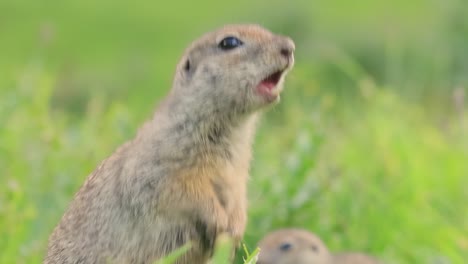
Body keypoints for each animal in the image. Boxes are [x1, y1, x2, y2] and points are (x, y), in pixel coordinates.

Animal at [45, 24, 296, 264]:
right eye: (229, 42)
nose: (289, 47)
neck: (231, 129)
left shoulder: (236, 172)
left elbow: (238, 197)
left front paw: (235, 229)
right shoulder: (163, 163)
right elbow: (182, 189)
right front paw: (219, 222)